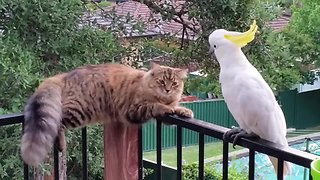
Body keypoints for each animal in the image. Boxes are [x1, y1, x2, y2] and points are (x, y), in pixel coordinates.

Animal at [21, 62, 194, 167]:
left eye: (174, 83)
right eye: (162, 82)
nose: (168, 90)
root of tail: (62, 75)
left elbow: (175, 108)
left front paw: (185, 111)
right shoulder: (134, 110)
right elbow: (156, 106)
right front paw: (165, 107)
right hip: (78, 111)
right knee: (58, 125)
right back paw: (61, 145)